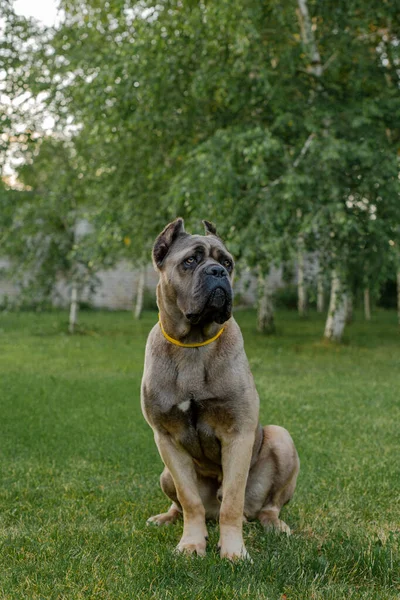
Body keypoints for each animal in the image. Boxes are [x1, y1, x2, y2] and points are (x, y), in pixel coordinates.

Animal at [141, 218, 300, 560]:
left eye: (227, 262)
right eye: (190, 260)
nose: (217, 272)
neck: (193, 342)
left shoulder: (237, 433)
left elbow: (232, 501)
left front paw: (234, 551)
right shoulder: (166, 438)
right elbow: (189, 500)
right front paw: (191, 544)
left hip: (281, 439)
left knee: (267, 507)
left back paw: (275, 525)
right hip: (164, 473)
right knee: (181, 504)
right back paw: (165, 518)